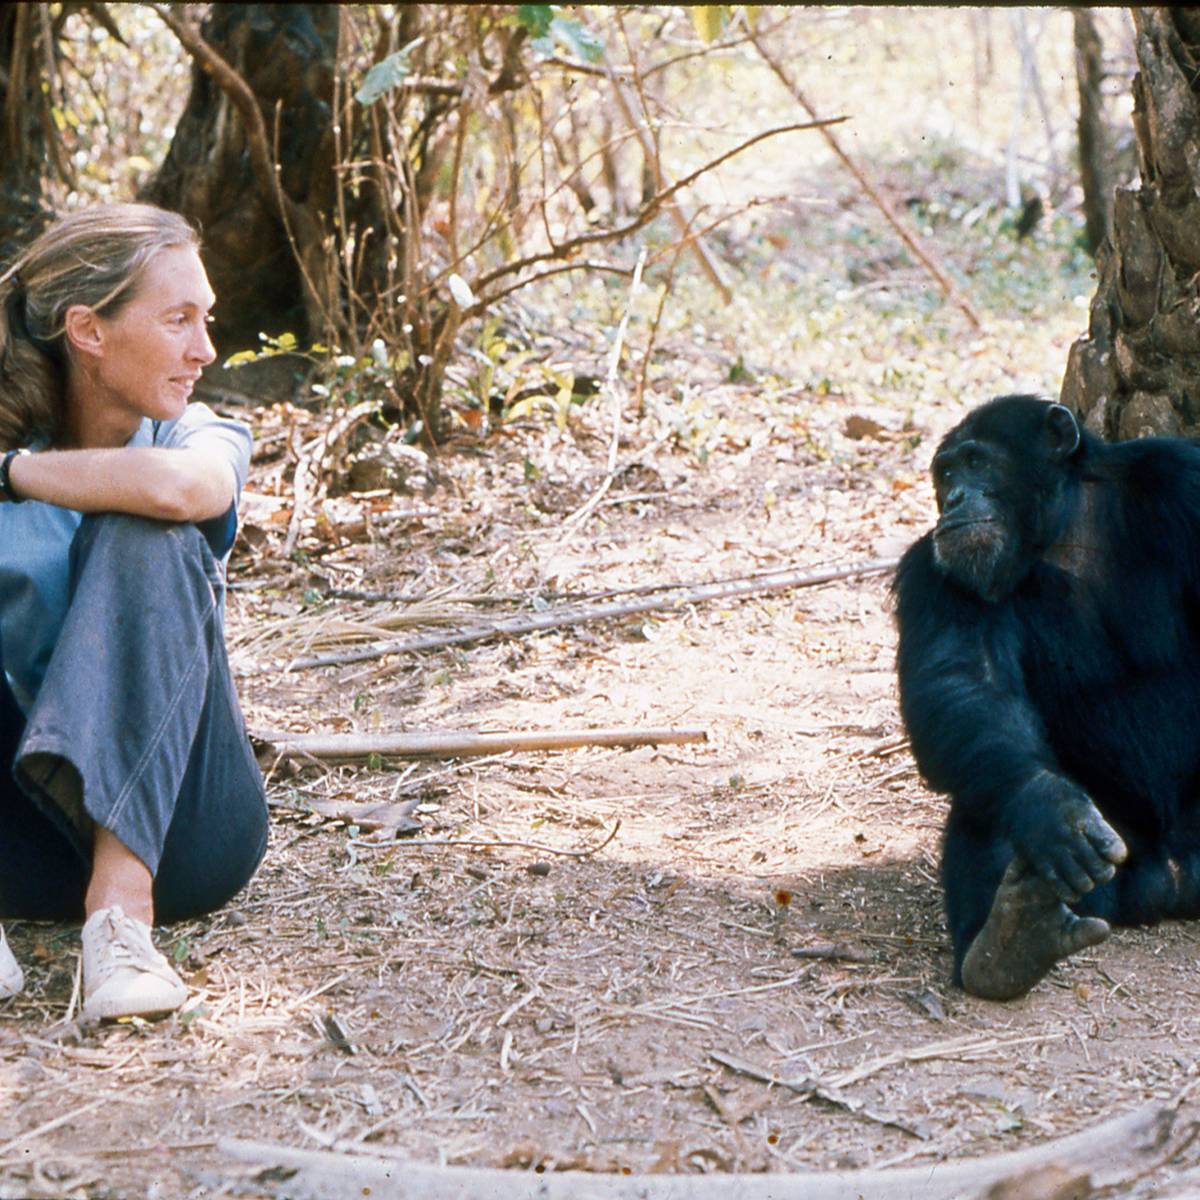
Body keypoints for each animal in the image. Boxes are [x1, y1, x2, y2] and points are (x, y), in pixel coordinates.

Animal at [892, 396, 1200, 1003]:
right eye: (945, 474)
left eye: (975, 462)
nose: (954, 498)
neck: (1061, 528)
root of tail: (1173, 883)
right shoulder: (933, 574)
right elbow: (963, 683)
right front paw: (1050, 809)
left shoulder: (1184, 482)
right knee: (989, 786)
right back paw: (1010, 938)